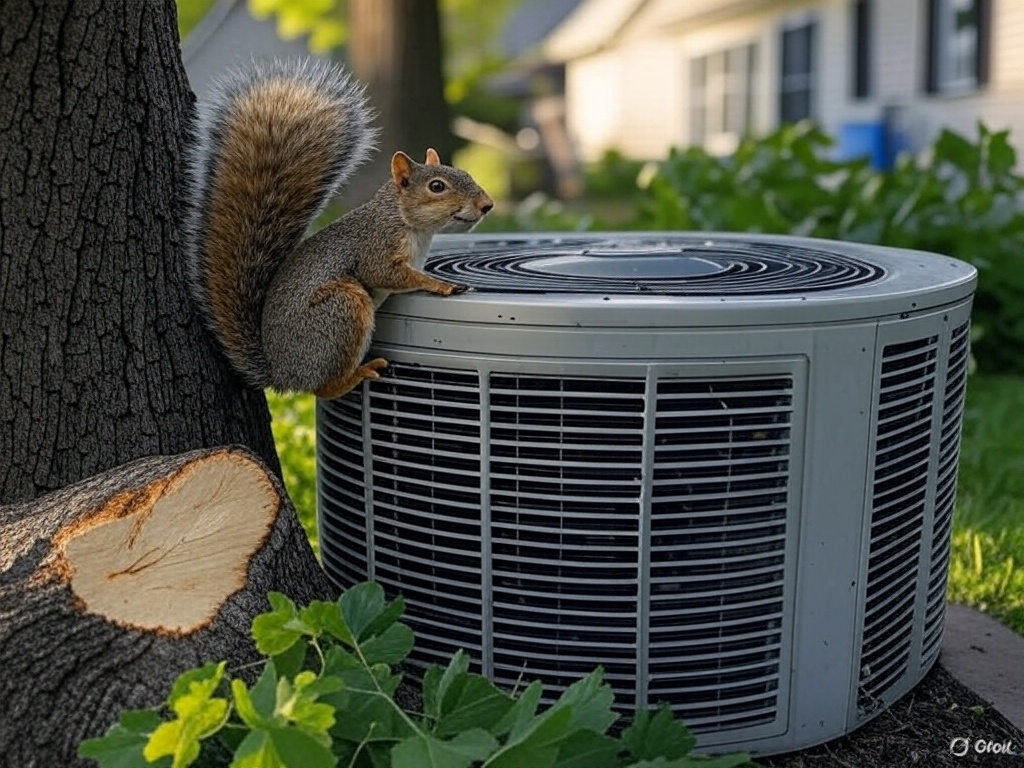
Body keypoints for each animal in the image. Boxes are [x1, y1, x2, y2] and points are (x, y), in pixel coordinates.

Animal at [183, 58, 494, 399]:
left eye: (464, 172)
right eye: (436, 186)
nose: (487, 204)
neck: (405, 223)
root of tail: (283, 374)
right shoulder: (376, 246)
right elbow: (385, 273)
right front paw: (442, 284)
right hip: (343, 309)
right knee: (322, 388)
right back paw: (357, 374)